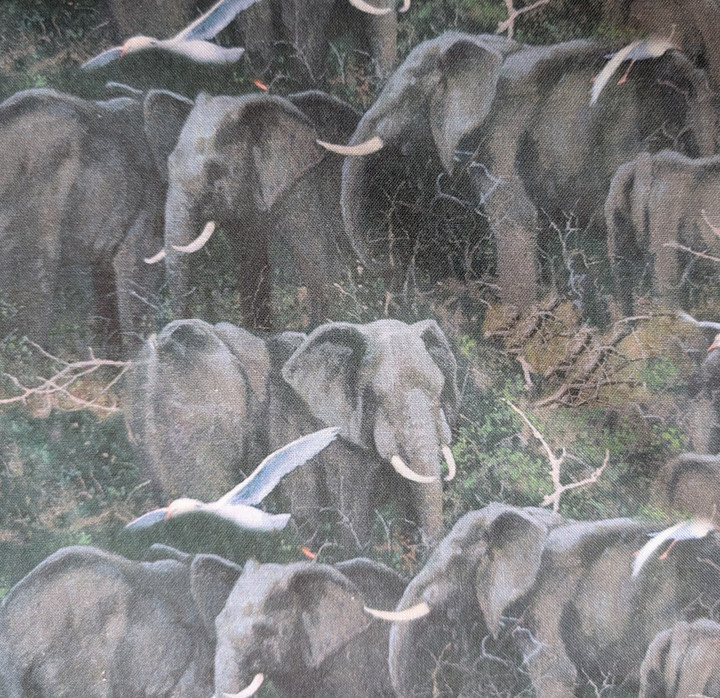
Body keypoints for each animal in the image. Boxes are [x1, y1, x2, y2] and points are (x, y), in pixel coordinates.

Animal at [154, 90, 361, 329]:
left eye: (214, 171)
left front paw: (320, 327)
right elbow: (250, 260)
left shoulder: (300, 186)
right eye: (170, 164)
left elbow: (316, 257)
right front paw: (259, 332)